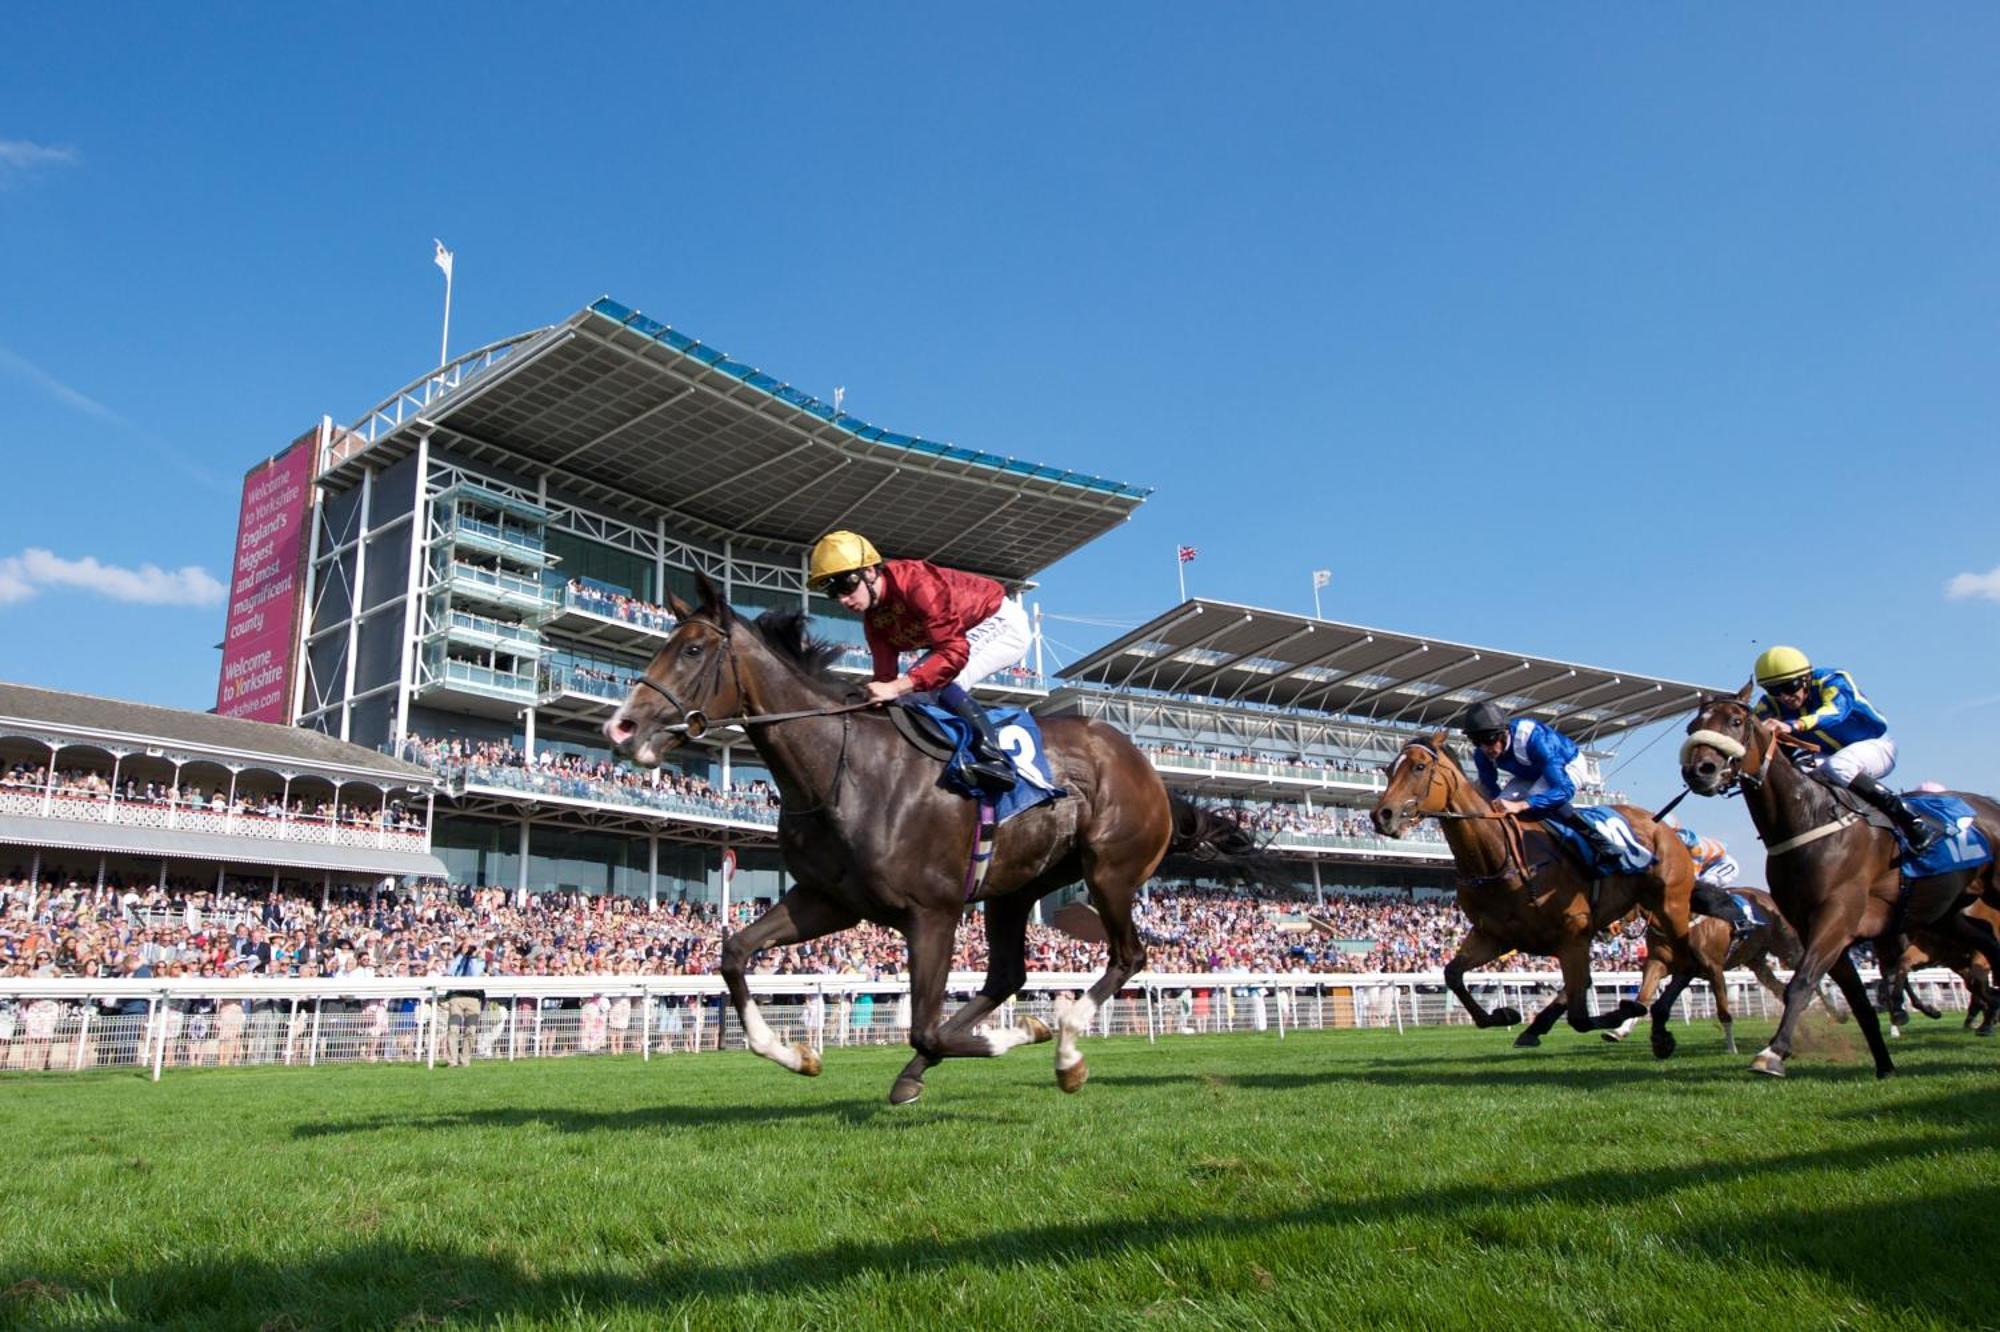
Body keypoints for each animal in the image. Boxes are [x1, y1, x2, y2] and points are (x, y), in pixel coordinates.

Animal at [600, 576, 1240, 1104]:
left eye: (691, 650)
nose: (621, 727)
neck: (844, 769)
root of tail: (1145, 764)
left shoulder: (932, 912)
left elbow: (923, 1025)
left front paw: (1024, 1031)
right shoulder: (828, 901)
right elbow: (733, 953)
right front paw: (796, 1055)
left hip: (1109, 871)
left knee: (1127, 955)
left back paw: (1063, 1046)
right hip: (1015, 889)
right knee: (1007, 975)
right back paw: (934, 1066)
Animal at [1368, 732, 1696, 1056]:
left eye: (1419, 767)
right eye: (1388, 770)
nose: (1381, 815)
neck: (1497, 858)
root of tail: (1660, 824)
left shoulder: (1572, 933)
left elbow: (1580, 1016)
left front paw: (1625, 1010)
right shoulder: (1493, 936)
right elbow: (1453, 975)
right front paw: (1505, 1014)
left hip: (1671, 906)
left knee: (1685, 962)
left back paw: (1657, 1029)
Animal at [1688, 688, 2000, 1072]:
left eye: (1735, 721)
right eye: (1692, 726)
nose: (1698, 770)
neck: (1809, 820)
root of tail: (1989, 804)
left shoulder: (1837, 916)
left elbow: (1803, 981)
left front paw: (1773, 1052)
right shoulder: (1818, 926)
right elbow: (1859, 1001)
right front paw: (1885, 1066)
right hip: (1943, 914)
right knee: (1987, 943)